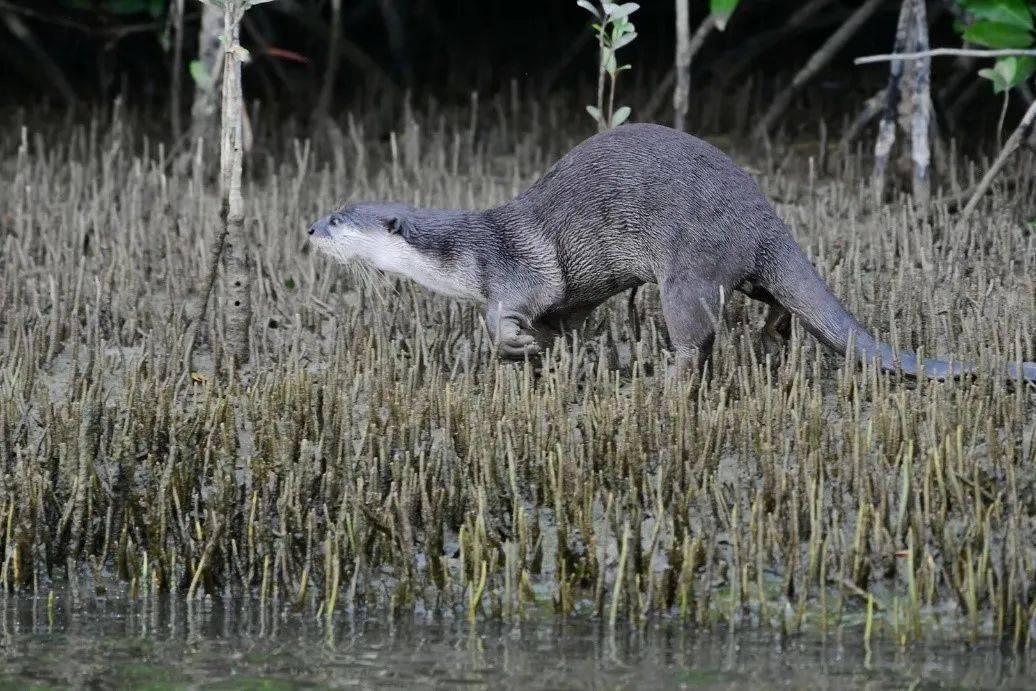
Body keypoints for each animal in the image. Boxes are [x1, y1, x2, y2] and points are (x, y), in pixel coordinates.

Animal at [308, 124, 1036, 383]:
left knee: (695, 334)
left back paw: (668, 382)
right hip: (738, 266)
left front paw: (513, 345)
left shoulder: (517, 269)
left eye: (340, 218)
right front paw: (543, 353)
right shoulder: (565, 299)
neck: (469, 251)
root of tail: (762, 217)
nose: (310, 229)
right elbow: (562, 322)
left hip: (686, 266)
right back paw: (776, 332)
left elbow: (509, 310)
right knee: (770, 295)